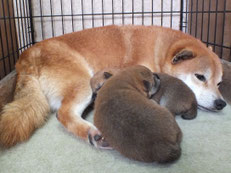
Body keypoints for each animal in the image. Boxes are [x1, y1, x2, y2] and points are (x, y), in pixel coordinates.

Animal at [0, 25, 225, 148]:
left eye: (219, 82)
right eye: (200, 77)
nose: (221, 103)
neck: (159, 51)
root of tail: (25, 57)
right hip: (82, 83)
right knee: (64, 113)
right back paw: (92, 133)